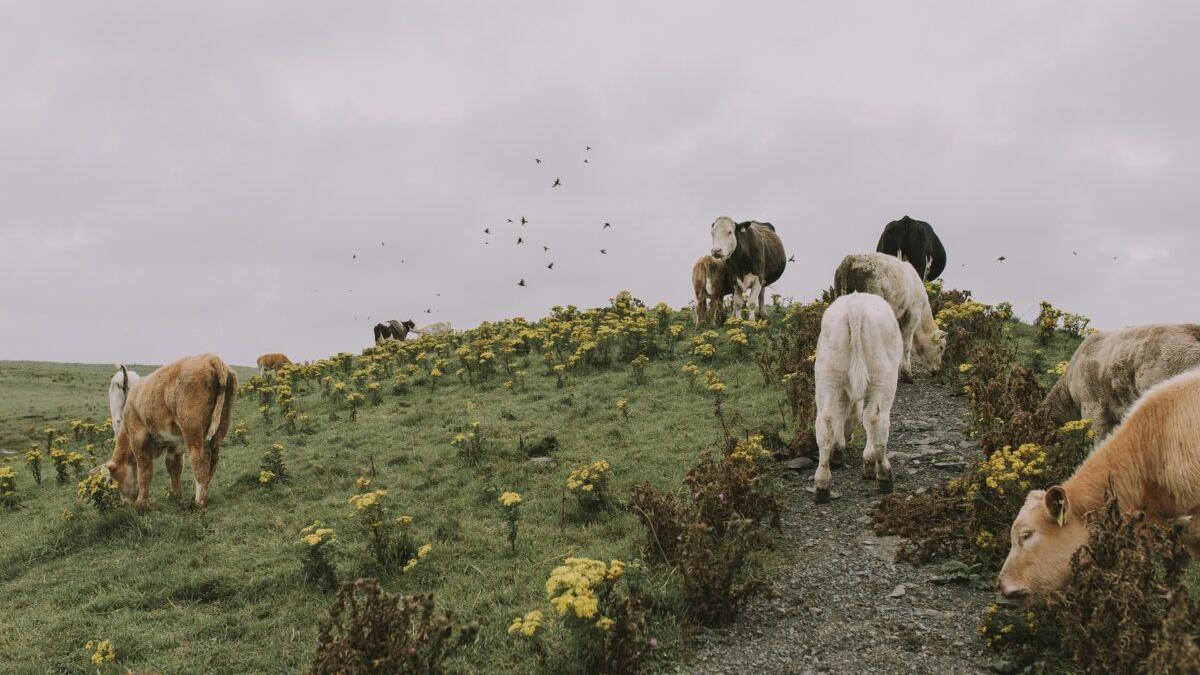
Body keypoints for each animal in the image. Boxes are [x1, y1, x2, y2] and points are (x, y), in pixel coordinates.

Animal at [99, 355, 240, 506]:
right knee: (213, 458)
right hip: (220, 427)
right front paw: (175, 495)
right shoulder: (176, 444)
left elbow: (144, 470)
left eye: (112, 481)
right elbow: (174, 467)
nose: (124, 502)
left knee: (199, 458)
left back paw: (199, 501)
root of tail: (209, 357)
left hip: (192, 431)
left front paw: (141, 504)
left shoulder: (138, 439)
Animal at [811, 293, 902, 499]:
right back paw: (884, 476)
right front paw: (869, 462)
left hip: (828, 375)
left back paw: (822, 484)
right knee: (876, 418)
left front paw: (838, 450)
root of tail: (855, 306)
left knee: (826, 421)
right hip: (884, 377)